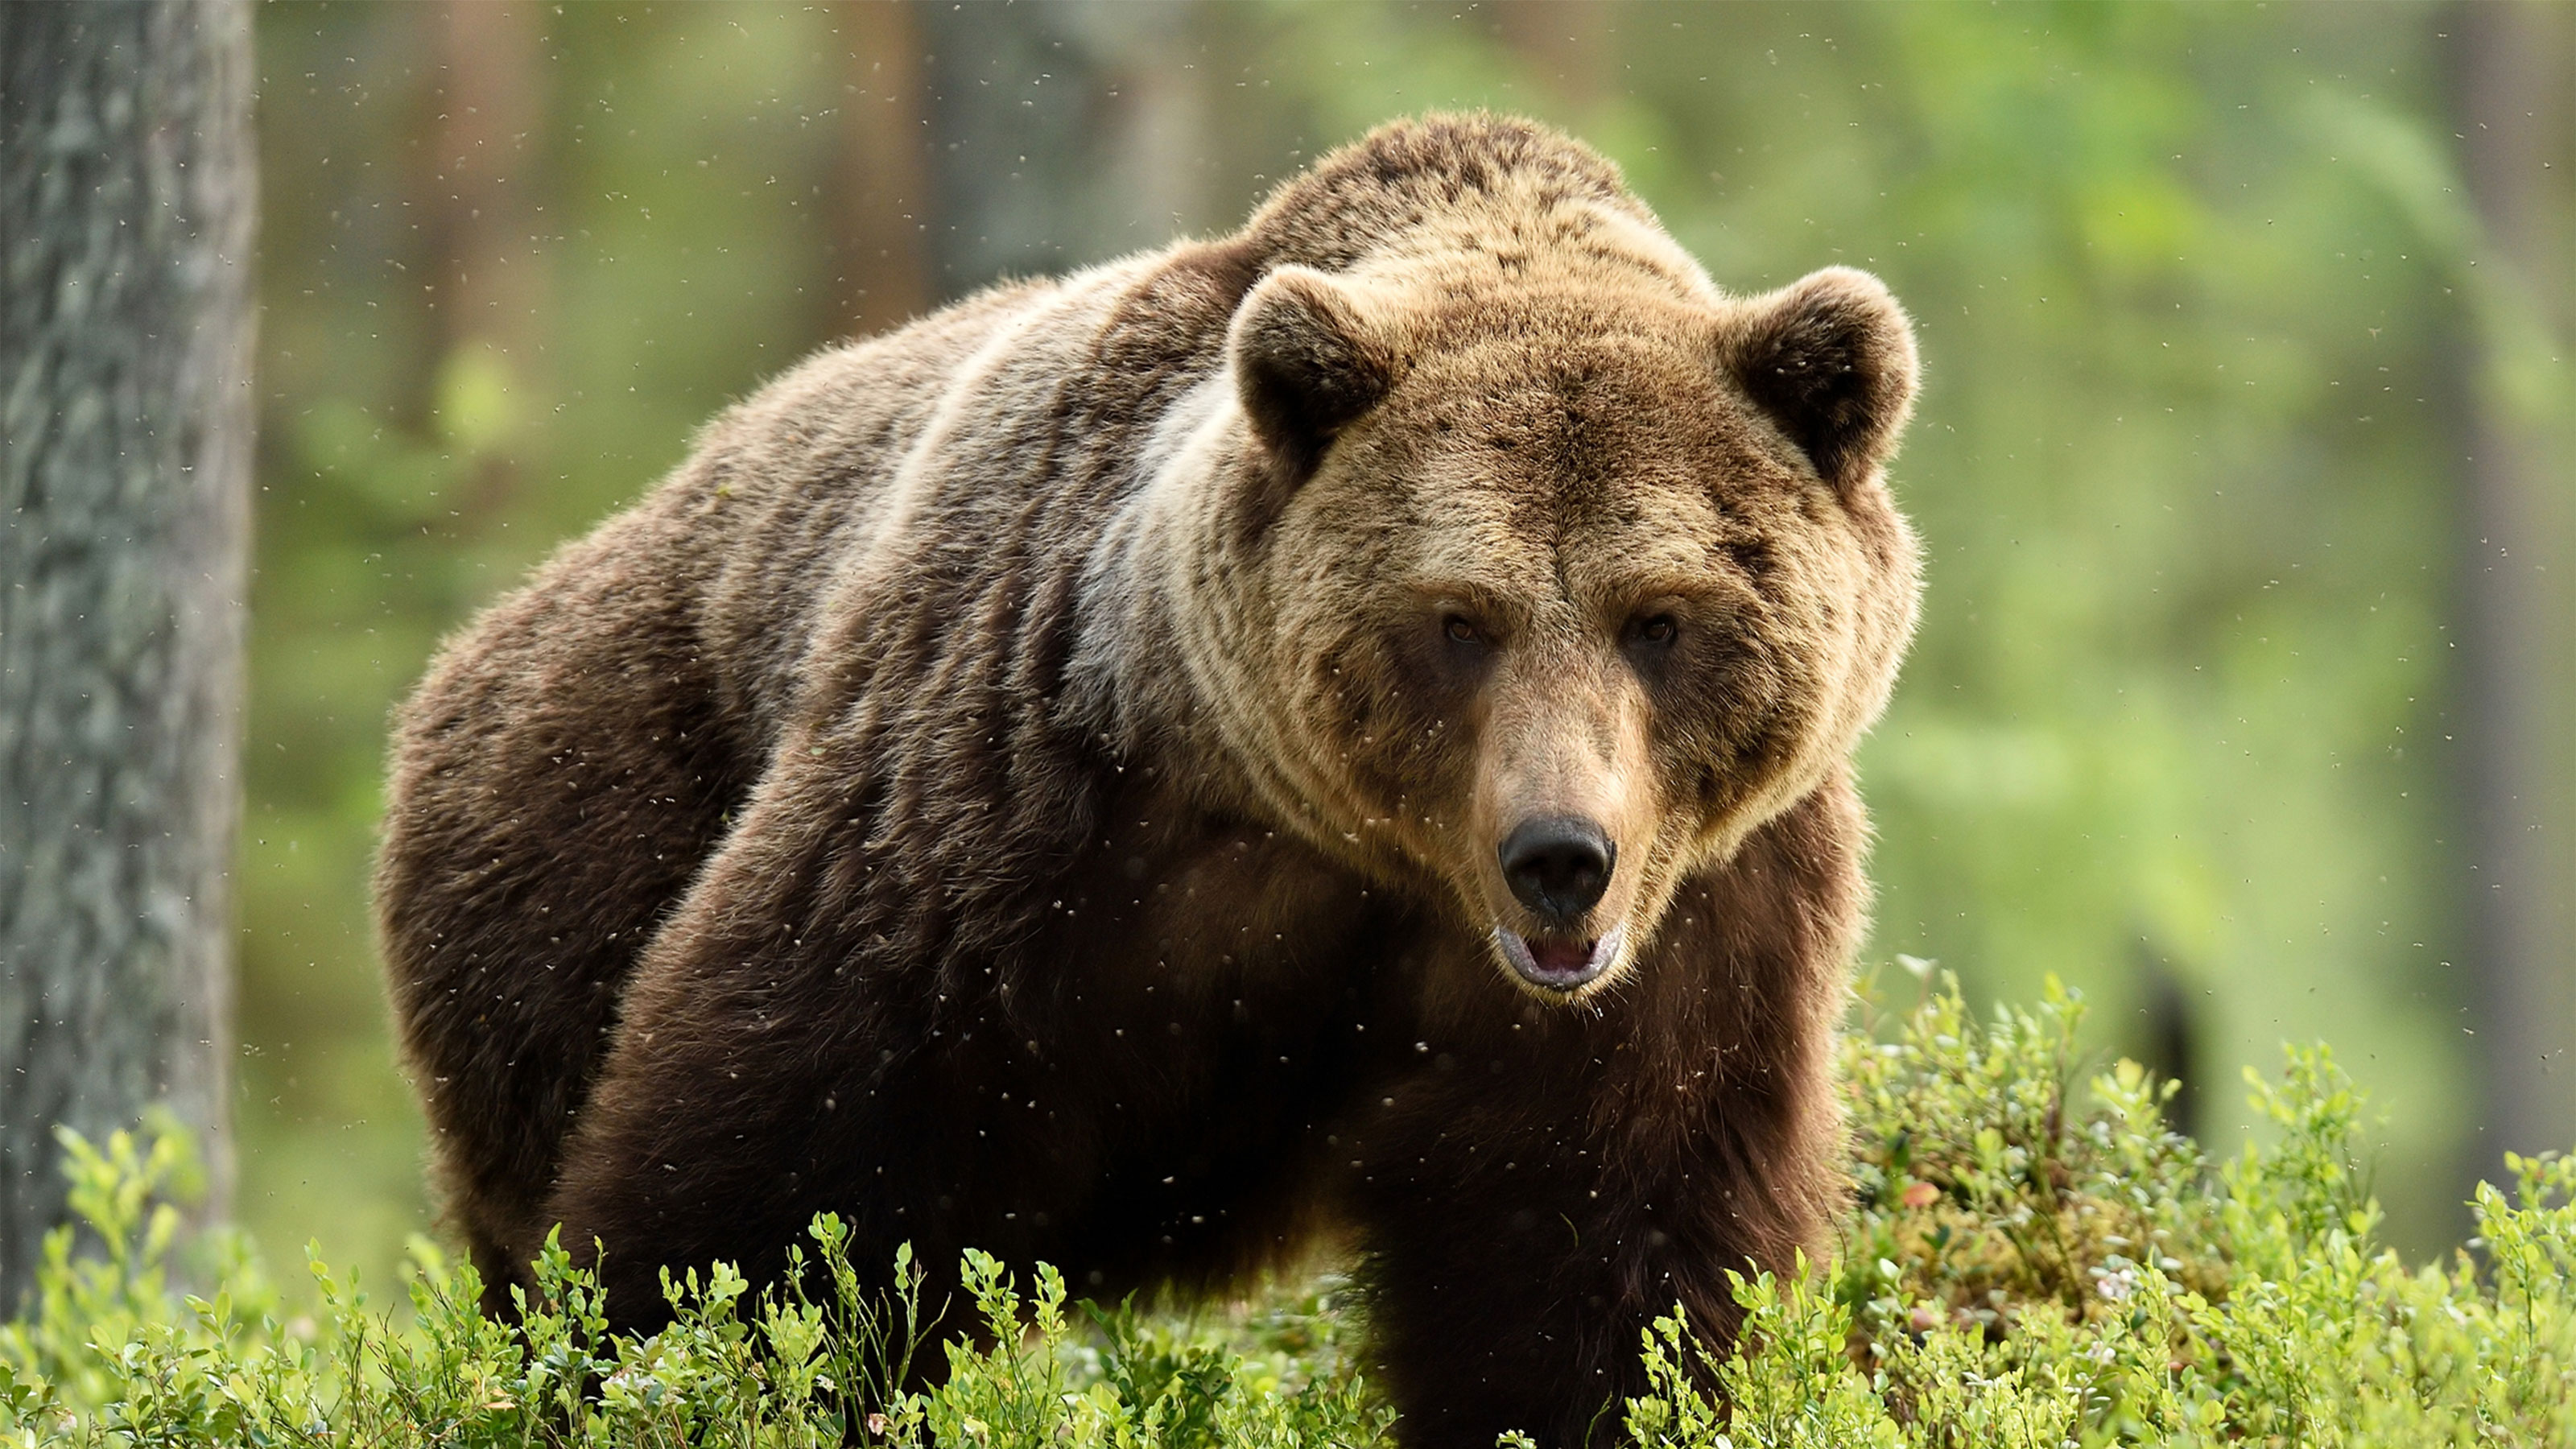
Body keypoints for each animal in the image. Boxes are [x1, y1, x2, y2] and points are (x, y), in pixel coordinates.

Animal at [376, 115, 1916, 1443]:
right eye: (1457, 619)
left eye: (1660, 616)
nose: (1559, 855)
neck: (1352, 853)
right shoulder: (1011, 811)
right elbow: (780, 1196)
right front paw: (692, 1365)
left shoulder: (1691, 944)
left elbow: (1603, 1273)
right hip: (584, 814)